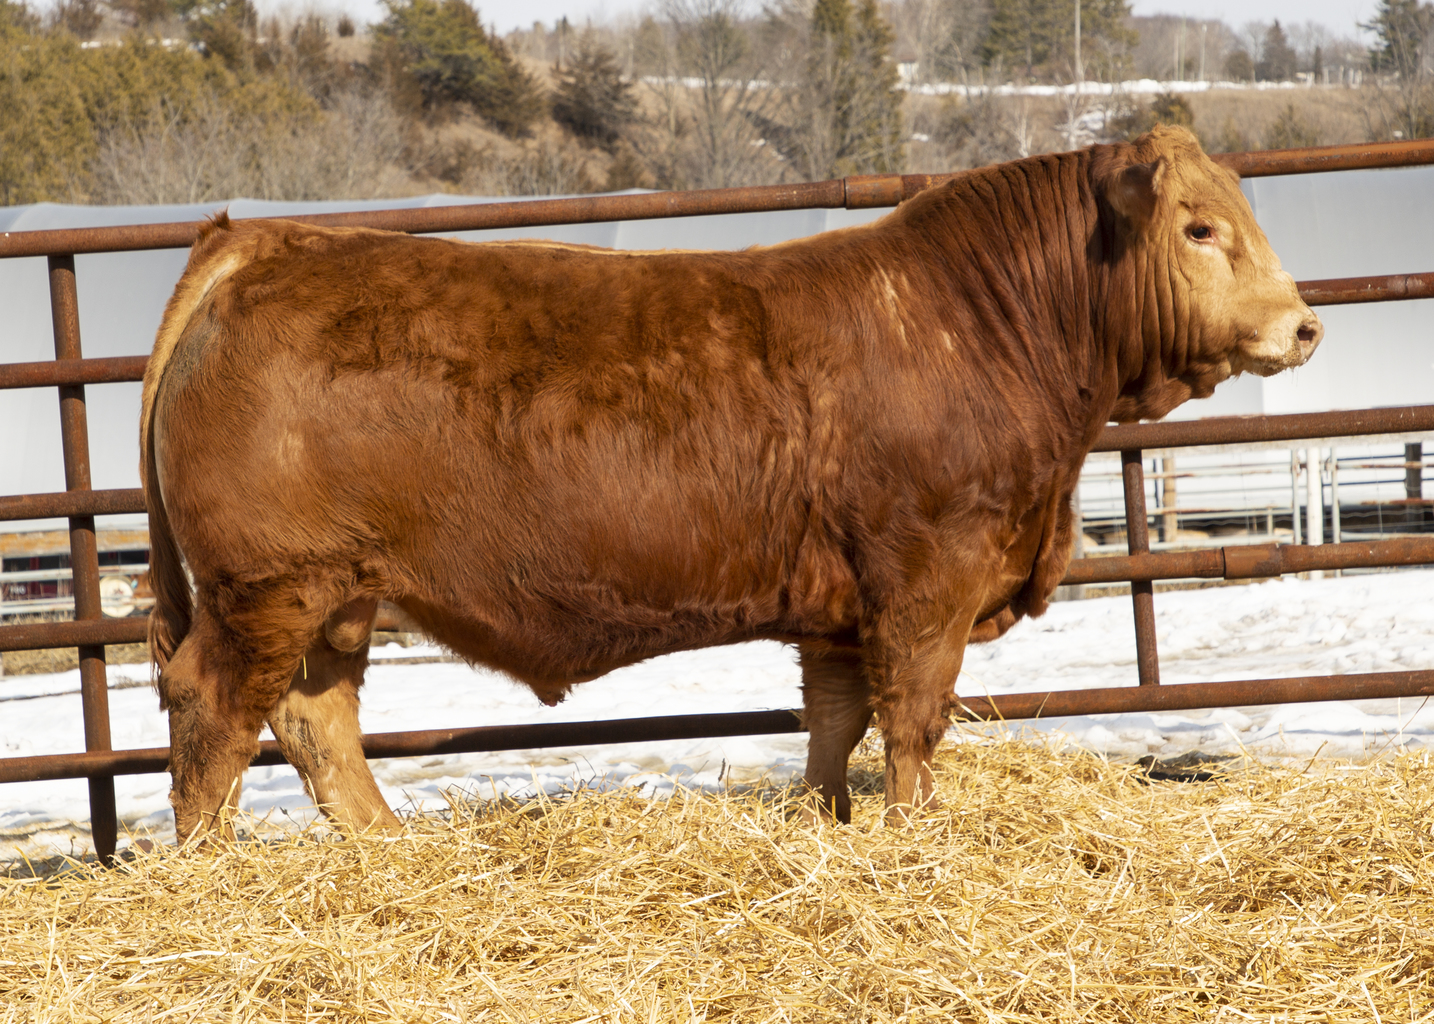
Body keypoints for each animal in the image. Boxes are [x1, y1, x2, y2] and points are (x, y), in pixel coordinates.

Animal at [141, 125, 1321, 841]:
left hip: (336, 593)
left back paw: (388, 849)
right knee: (215, 711)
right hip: (267, 587)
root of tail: (259, 243)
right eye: (1200, 228)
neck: (975, 322)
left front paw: (828, 822)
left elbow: (835, 724)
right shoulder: (927, 577)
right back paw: (212, 868)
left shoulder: (842, 607)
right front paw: (914, 833)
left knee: (314, 722)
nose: (1305, 324)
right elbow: (914, 719)